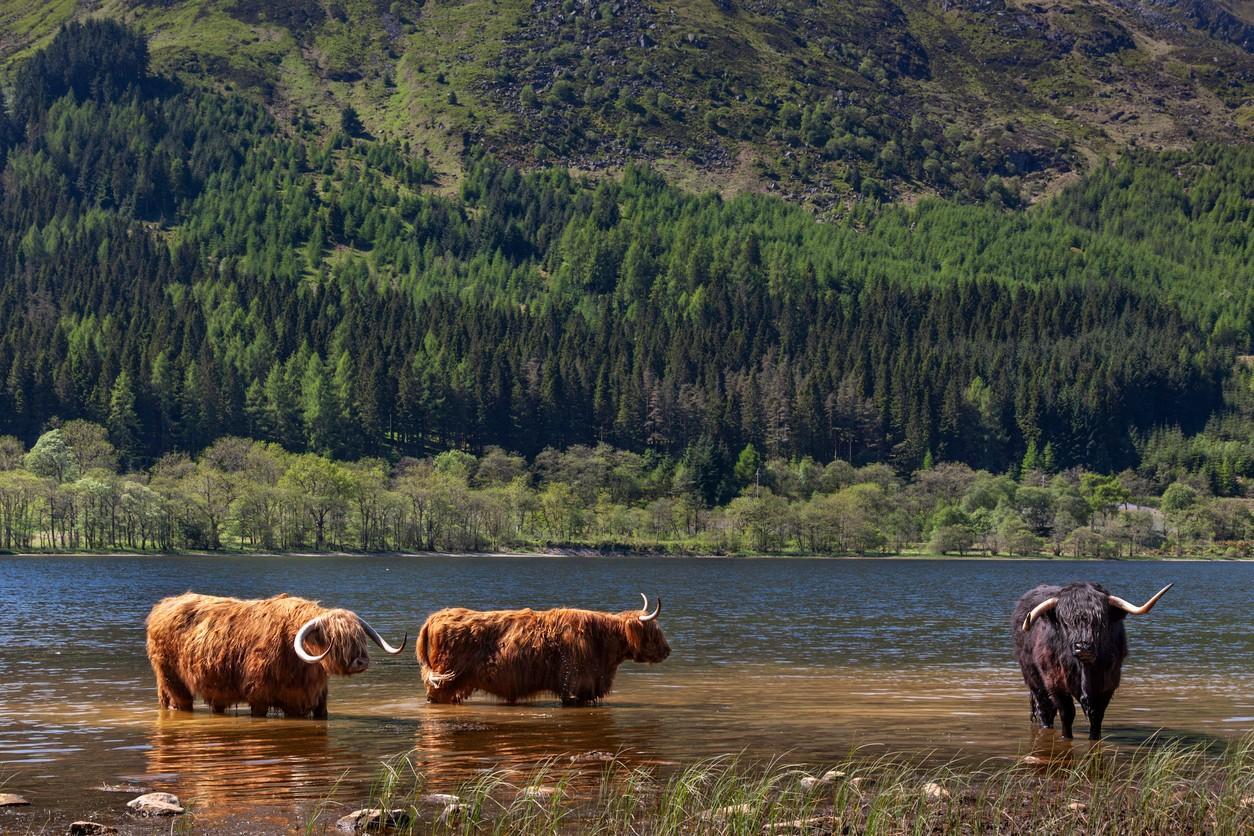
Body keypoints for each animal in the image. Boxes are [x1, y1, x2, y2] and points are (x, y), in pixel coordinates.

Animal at [146, 591, 403, 721]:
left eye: (360, 637)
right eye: (336, 639)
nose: (361, 661)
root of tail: (164, 604)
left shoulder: (310, 699)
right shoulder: (258, 696)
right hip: (172, 679)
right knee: (180, 701)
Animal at [1008, 581, 1173, 736]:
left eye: (1100, 621)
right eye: (1065, 622)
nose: (1083, 647)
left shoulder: (1108, 684)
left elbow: (1096, 716)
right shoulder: (1055, 683)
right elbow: (1067, 714)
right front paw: (1066, 737)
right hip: (1033, 679)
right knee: (1044, 709)